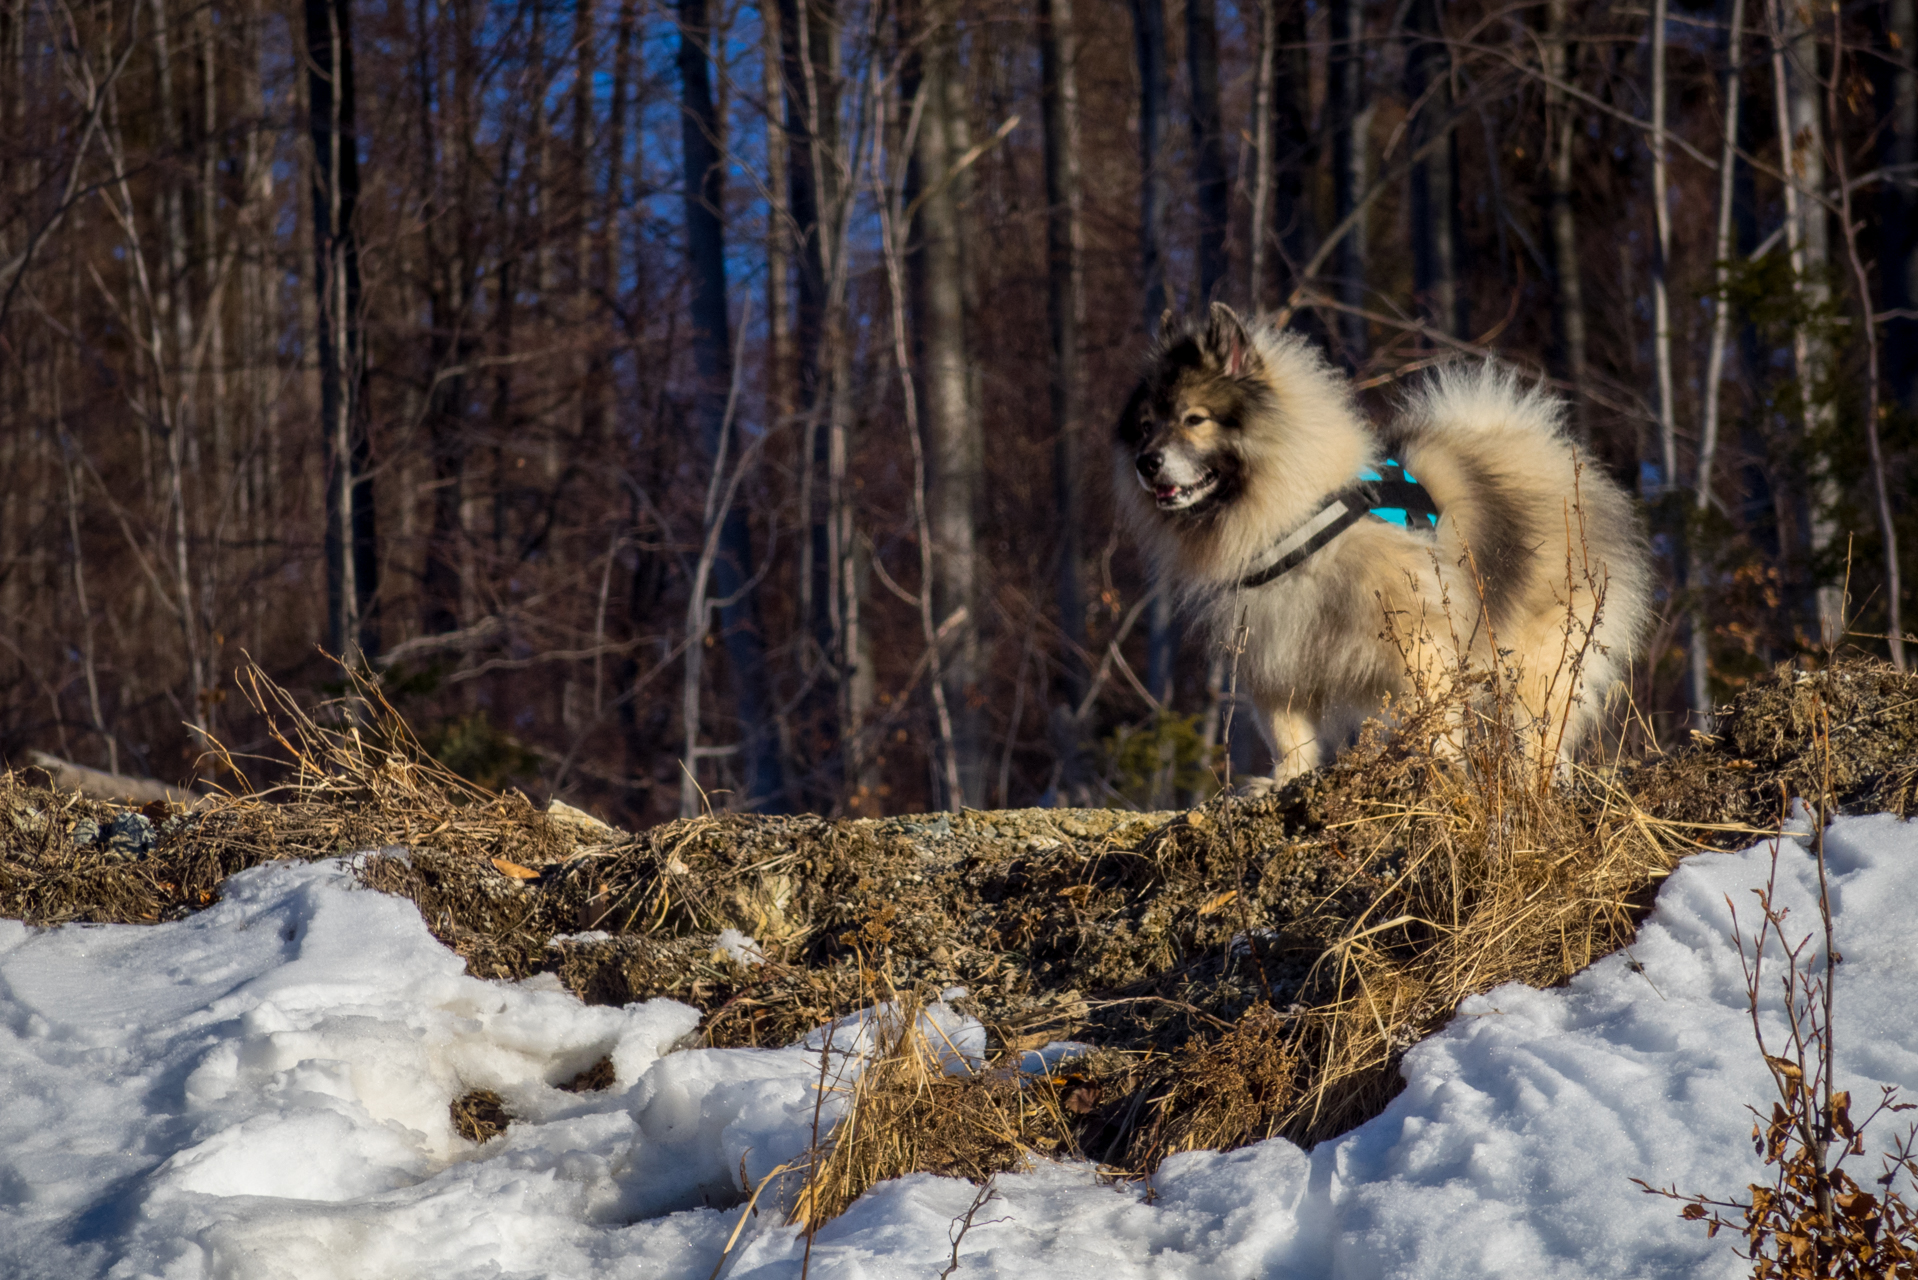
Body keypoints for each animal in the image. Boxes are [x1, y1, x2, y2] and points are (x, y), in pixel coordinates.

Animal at [1120, 307, 1657, 786]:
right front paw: (1285, 781)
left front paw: (1440, 770)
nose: (1146, 463)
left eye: (1194, 419)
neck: (1300, 521)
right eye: (1145, 426)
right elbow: (1289, 735)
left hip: (1541, 661)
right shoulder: (1274, 660)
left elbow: (1434, 722)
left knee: (1542, 732)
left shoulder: (1418, 647)